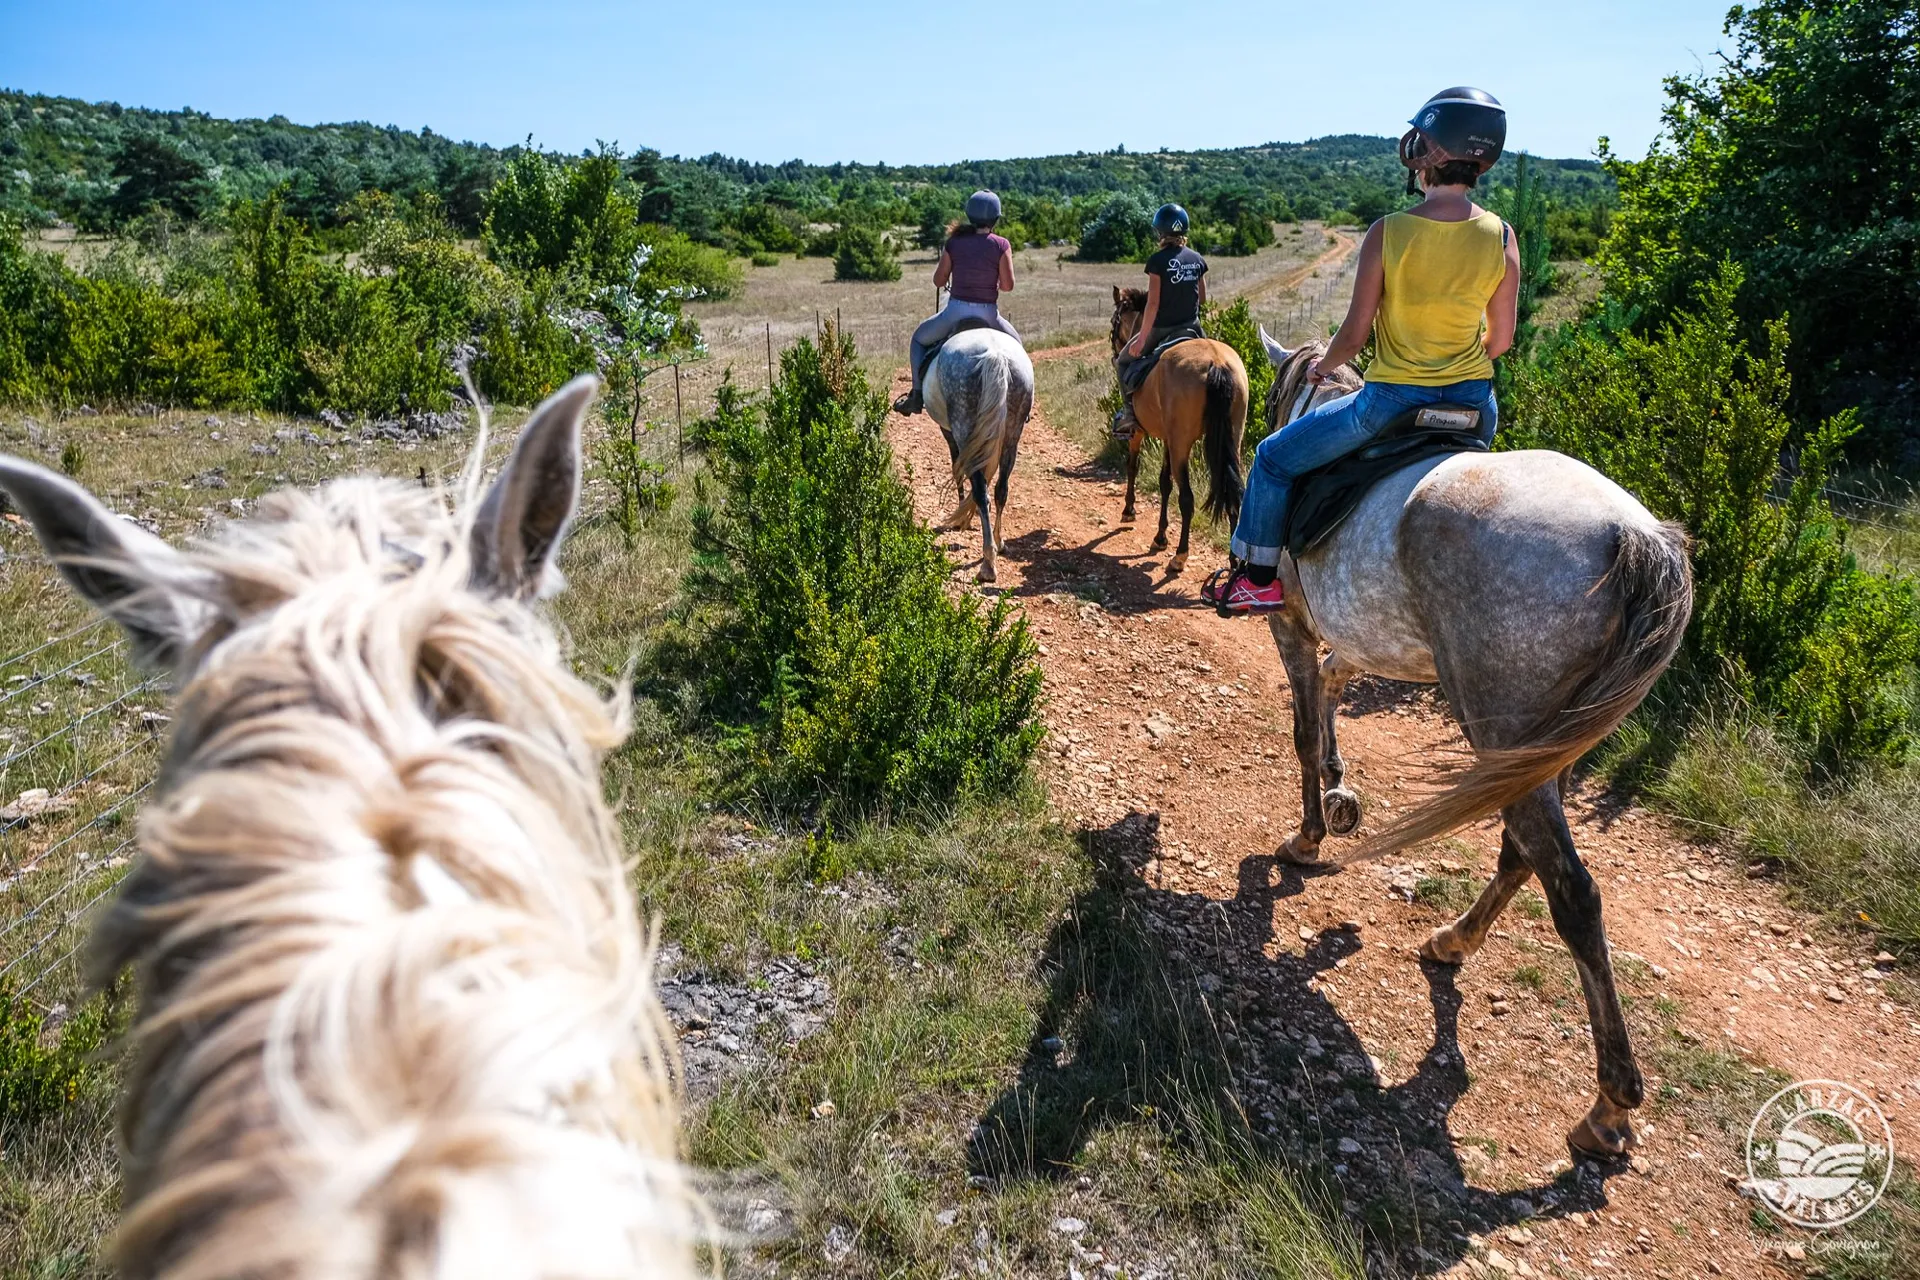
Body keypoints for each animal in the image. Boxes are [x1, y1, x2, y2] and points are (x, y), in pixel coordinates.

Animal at [924, 326, 1035, 583]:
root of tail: (995, 355)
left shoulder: (950, 433)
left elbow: (957, 470)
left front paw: (961, 515)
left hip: (963, 423)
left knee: (981, 492)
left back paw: (988, 563)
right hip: (1012, 436)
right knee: (1001, 490)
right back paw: (999, 542)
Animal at [1108, 287, 1249, 574]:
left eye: (1114, 321)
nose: (1115, 351)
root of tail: (1217, 363)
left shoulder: (1142, 433)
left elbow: (1133, 466)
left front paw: (1129, 510)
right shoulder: (1168, 439)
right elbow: (1164, 482)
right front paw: (1160, 536)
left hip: (1182, 443)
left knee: (1187, 499)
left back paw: (1180, 556)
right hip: (1232, 437)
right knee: (1233, 491)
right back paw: (1234, 559)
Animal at [1249, 327, 1693, 1160]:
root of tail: (1634, 536)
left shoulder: (1289, 621)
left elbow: (1302, 726)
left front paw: (1309, 834)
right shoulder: (1358, 643)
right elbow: (1330, 693)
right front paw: (1341, 794)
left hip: (1505, 727)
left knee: (1572, 892)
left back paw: (1608, 1105)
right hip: (1543, 745)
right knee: (1523, 852)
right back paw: (1454, 940)